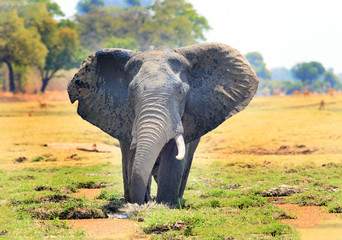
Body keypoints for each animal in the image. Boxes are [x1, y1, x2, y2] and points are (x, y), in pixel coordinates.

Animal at [68, 42, 258, 205]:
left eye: (181, 91)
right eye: (131, 92)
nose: (139, 203)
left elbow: (174, 157)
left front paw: (166, 206)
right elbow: (133, 156)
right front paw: (140, 204)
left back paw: (178, 201)